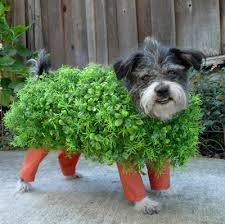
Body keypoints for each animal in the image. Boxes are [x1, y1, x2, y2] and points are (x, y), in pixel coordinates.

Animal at [15, 37, 203, 215]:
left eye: (172, 72)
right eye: (145, 77)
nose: (162, 89)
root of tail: (43, 80)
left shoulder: (159, 151)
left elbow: (161, 175)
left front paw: (164, 190)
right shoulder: (126, 155)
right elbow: (133, 183)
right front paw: (144, 203)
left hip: (72, 135)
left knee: (65, 155)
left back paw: (71, 174)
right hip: (41, 139)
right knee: (31, 160)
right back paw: (23, 183)